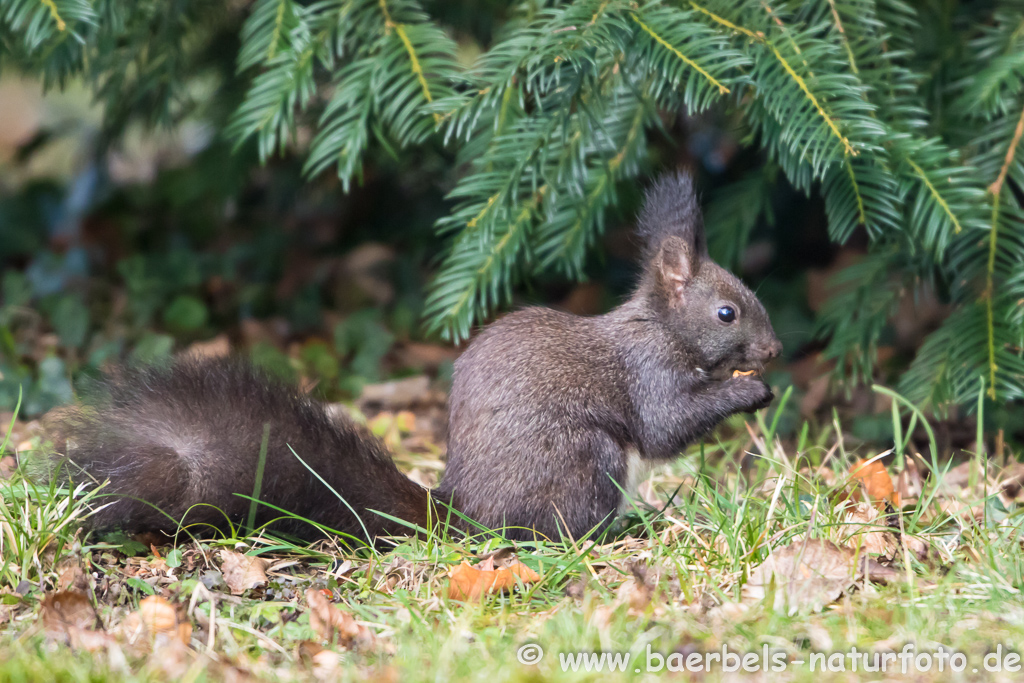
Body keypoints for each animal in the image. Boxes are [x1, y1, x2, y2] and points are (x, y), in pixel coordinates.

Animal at [48, 175, 778, 544]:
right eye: (727, 313)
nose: (773, 350)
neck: (662, 327)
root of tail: (462, 513)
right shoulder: (647, 371)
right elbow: (664, 425)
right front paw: (749, 392)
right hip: (584, 464)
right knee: (549, 535)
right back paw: (615, 537)